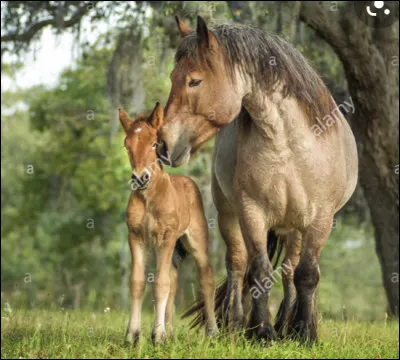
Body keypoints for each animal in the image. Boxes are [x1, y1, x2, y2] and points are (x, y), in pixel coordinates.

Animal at [119, 102, 219, 344]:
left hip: (195, 240)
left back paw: (212, 332)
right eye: (127, 145)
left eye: (154, 143)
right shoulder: (136, 237)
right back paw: (171, 330)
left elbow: (160, 284)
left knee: (206, 278)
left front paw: (157, 336)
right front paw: (133, 335)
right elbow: (137, 283)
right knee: (174, 280)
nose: (140, 178)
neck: (149, 199)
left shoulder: (167, 237)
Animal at [158, 16, 358, 344]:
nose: (162, 145)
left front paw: (304, 332)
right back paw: (234, 323)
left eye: (194, 81)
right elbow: (259, 271)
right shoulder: (252, 212)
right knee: (237, 263)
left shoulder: (320, 219)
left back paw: (287, 325)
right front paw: (262, 331)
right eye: (174, 77)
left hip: (294, 227)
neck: (289, 145)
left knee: (290, 270)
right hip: (229, 215)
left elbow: (307, 274)